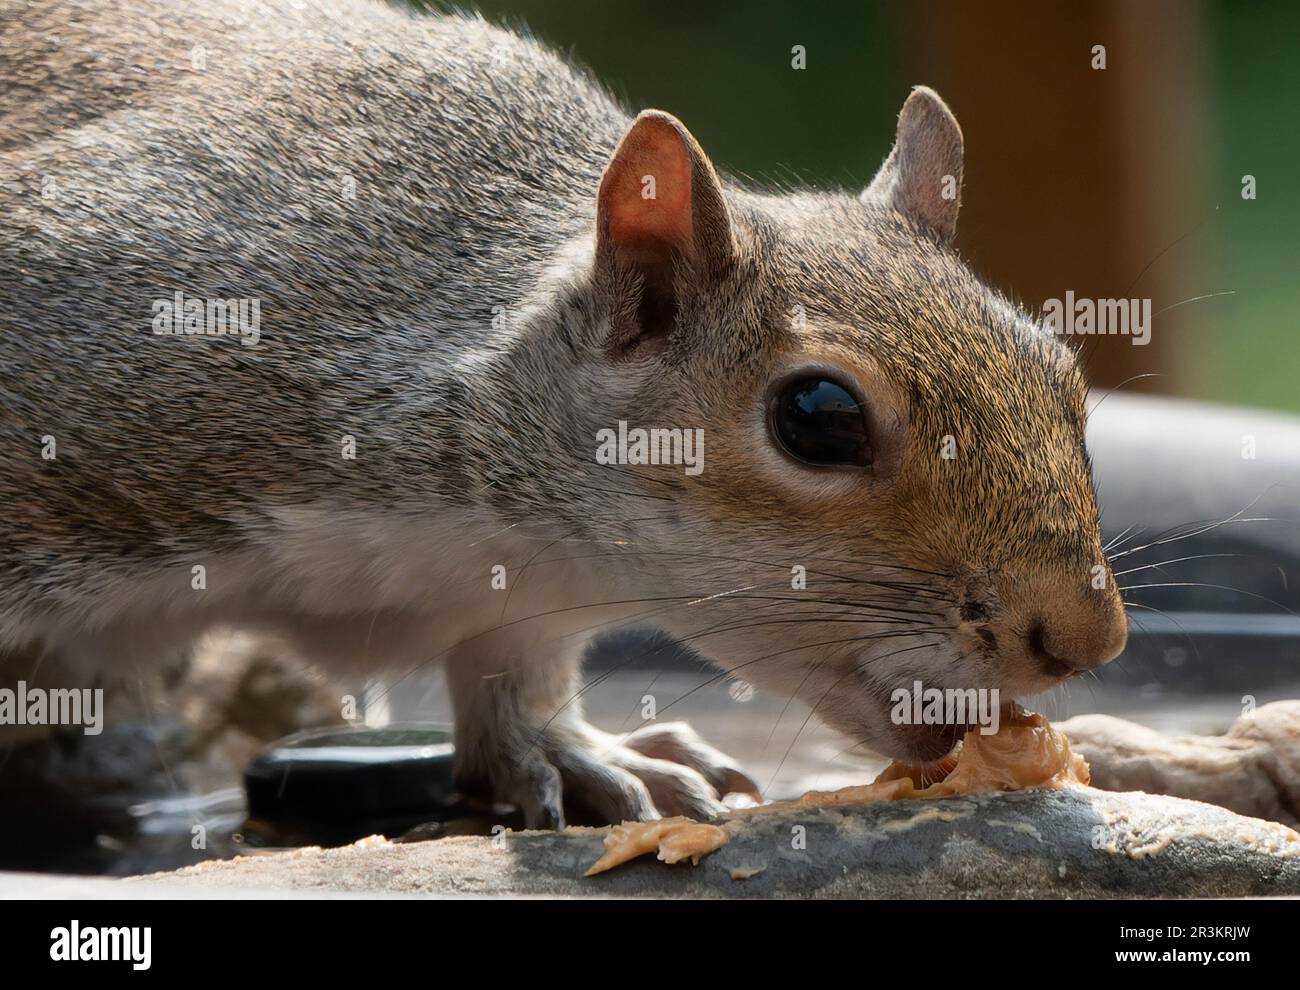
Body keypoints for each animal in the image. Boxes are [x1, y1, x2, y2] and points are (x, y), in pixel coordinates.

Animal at [0, 0, 1127, 829]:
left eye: (1064, 377)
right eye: (818, 416)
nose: (1087, 640)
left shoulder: (513, 602)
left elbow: (512, 680)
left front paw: (577, 753)